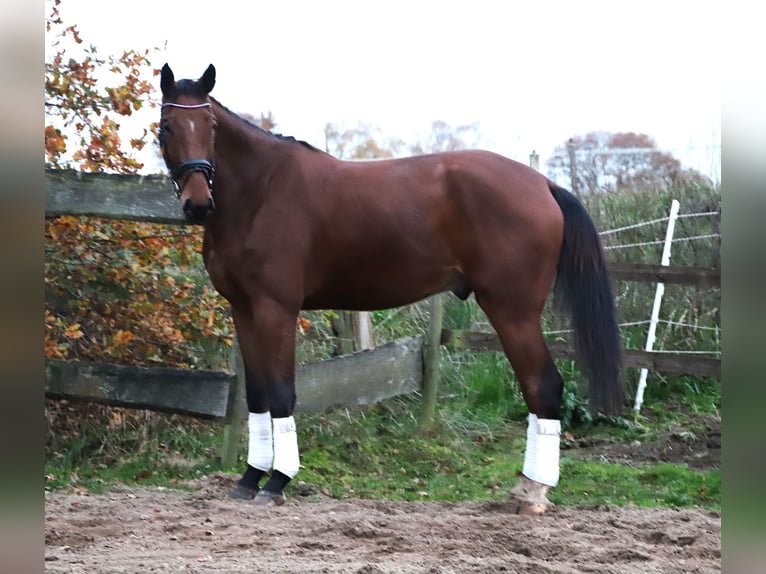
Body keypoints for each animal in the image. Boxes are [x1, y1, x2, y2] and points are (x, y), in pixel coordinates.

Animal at [158, 63, 622, 514]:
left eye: (209, 125)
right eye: (166, 126)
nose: (198, 204)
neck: (261, 191)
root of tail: (544, 184)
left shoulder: (277, 309)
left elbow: (282, 393)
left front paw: (277, 481)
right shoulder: (244, 308)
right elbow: (256, 395)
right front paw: (250, 478)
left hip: (513, 311)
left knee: (544, 387)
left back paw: (534, 493)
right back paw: (527, 489)